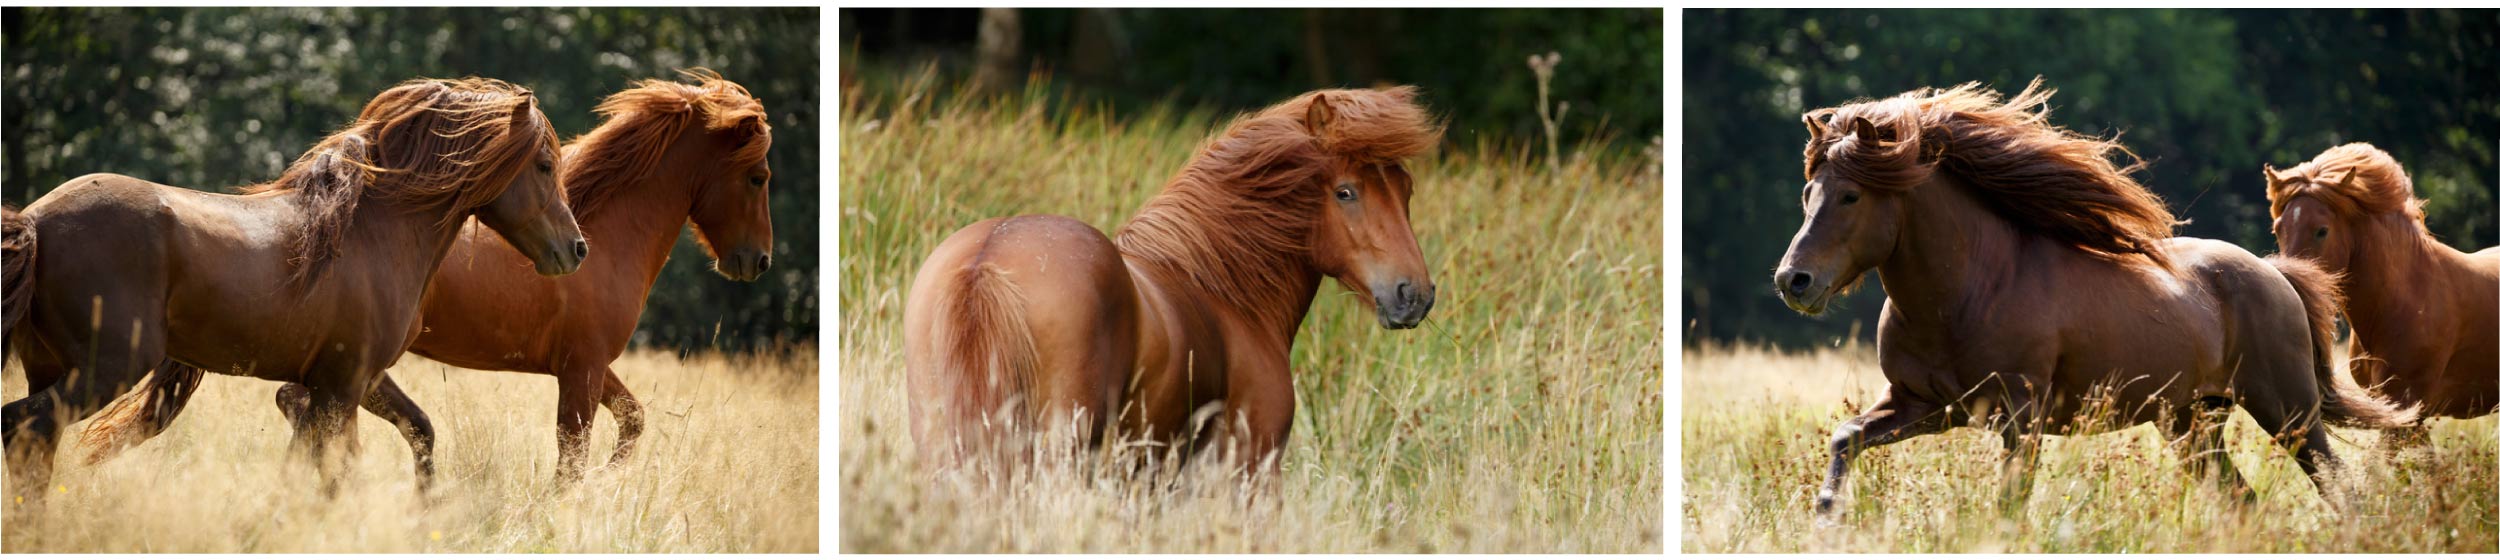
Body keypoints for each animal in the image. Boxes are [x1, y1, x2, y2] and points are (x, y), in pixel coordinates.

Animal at [7, 77, 580, 495]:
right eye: (544, 165)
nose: (576, 249)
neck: (373, 230)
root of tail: (36, 220)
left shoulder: (354, 378)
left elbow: (412, 433)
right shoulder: (340, 385)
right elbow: (315, 469)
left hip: (52, 368)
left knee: (33, 448)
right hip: (106, 368)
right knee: (23, 428)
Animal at [78, 68, 770, 480]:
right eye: (759, 177)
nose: (756, 261)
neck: (605, 229)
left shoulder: (590, 367)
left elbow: (632, 423)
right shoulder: (581, 368)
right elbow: (575, 458)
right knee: (307, 410)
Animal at [905, 85, 1450, 475]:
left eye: (1405, 188)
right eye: (1345, 192)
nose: (1414, 294)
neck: (1224, 290)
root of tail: (986, 259)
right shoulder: (1247, 470)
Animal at [1770, 78, 2410, 515]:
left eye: (1850, 196)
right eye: (1807, 190)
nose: (1792, 281)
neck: (1970, 291)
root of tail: (2275, 274)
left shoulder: (2019, 419)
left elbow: (2010, 505)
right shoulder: (1923, 405)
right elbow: (1846, 439)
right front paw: (1826, 519)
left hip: (2288, 411)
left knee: (2339, 487)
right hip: (2192, 423)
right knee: (2241, 500)